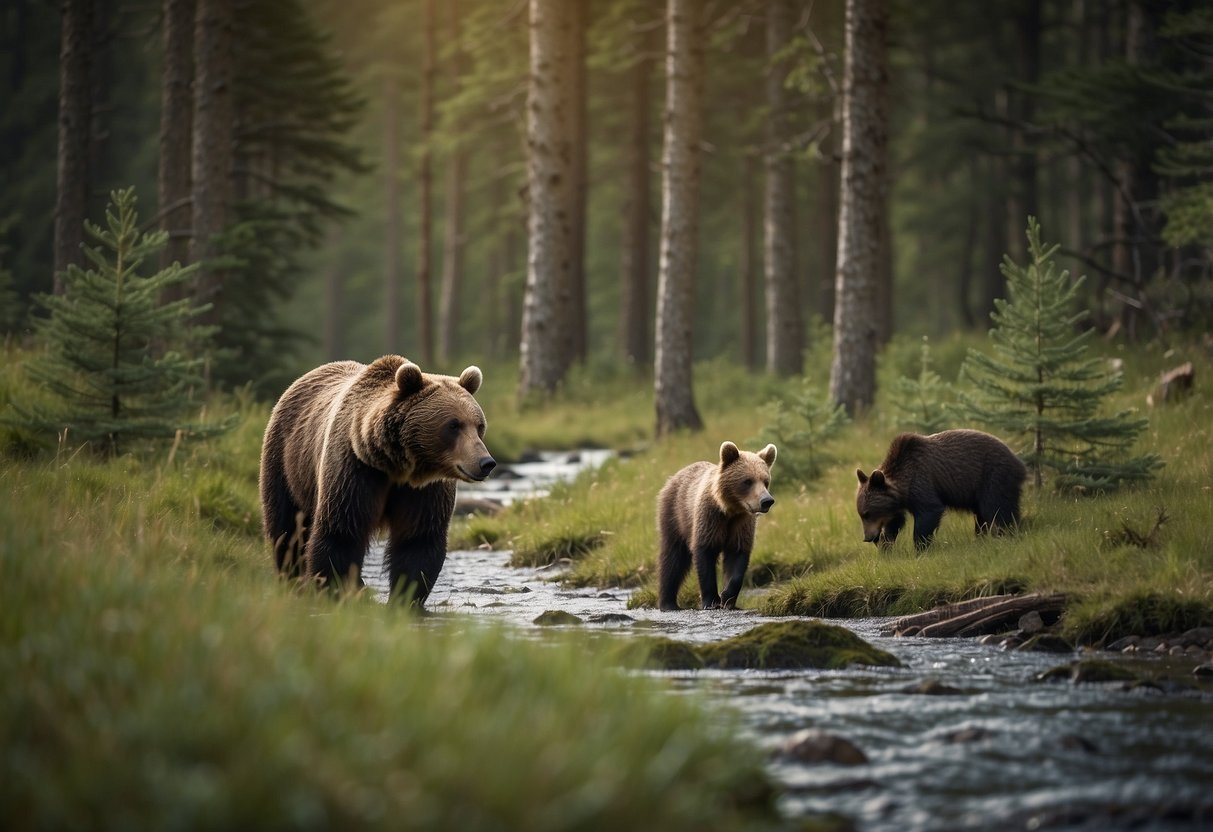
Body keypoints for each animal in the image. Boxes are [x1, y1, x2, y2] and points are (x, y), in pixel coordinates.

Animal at [258, 354, 494, 603]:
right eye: (453, 425)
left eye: (479, 425)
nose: (485, 462)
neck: (396, 466)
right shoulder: (354, 472)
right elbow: (340, 533)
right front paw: (337, 590)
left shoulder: (424, 490)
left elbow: (418, 541)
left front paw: (405, 599)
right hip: (285, 462)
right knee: (287, 528)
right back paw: (292, 580)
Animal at [655, 443, 776, 613]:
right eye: (747, 481)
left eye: (766, 481)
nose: (766, 501)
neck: (729, 510)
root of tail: (675, 476)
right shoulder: (710, 520)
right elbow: (705, 555)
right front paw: (711, 601)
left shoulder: (741, 525)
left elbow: (737, 558)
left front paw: (728, 598)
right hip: (674, 516)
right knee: (673, 558)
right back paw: (668, 603)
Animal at [853, 429, 1023, 553]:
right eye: (861, 514)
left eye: (867, 513)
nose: (867, 537)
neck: (904, 488)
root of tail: (1018, 461)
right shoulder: (898, 505)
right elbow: (895, 522)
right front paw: (885, 545)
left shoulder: (922, 482)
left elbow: (929, 512)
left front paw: (920, 548)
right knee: (982, 515)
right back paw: (981, 538)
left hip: (993, 477)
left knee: (997, 508)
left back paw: (1006, 534)